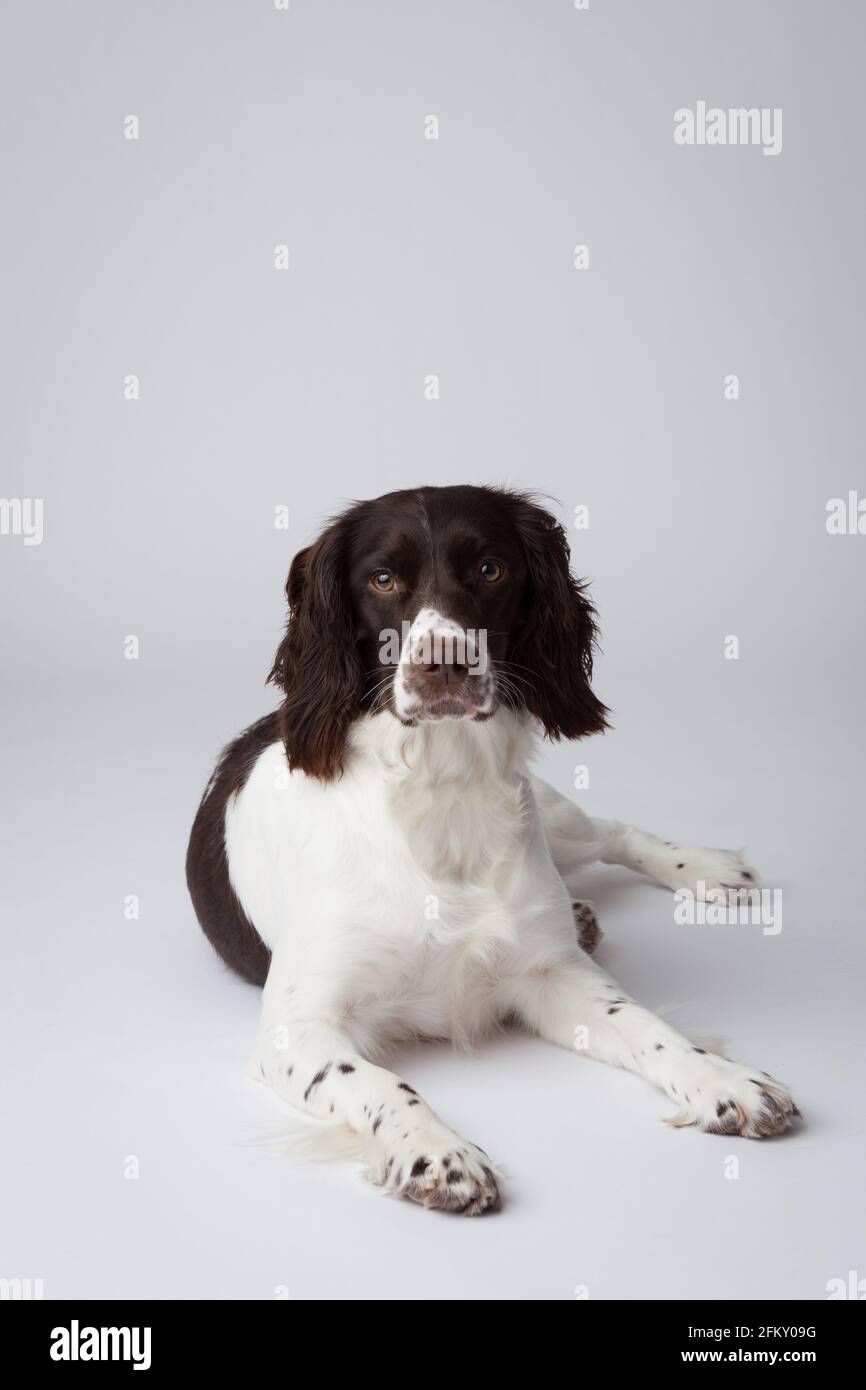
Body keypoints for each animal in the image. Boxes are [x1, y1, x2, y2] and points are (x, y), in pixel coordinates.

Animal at [187, 486, 800, 1217]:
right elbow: (380, 1083)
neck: (439, 790)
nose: (444, 661)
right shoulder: (297, 1027)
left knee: (613, 831)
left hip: (556, 820)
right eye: (381, 579)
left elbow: (650, 1027)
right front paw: (438, 1151)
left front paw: (723, 1078)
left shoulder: (550, 974)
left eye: (489, 570)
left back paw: (705, 871)